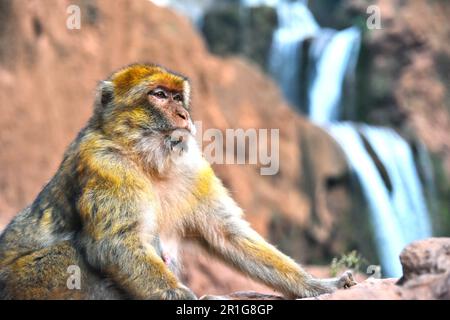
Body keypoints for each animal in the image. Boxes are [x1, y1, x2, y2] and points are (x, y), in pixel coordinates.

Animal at [0, 63, 356, 300]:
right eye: (159, 95)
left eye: (178, 97)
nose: (184, 115)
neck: (147, 160)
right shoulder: (105, 165)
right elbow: (116, 244)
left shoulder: (194, 169)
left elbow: (229, 235)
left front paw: (318, 285)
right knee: (71, 254)